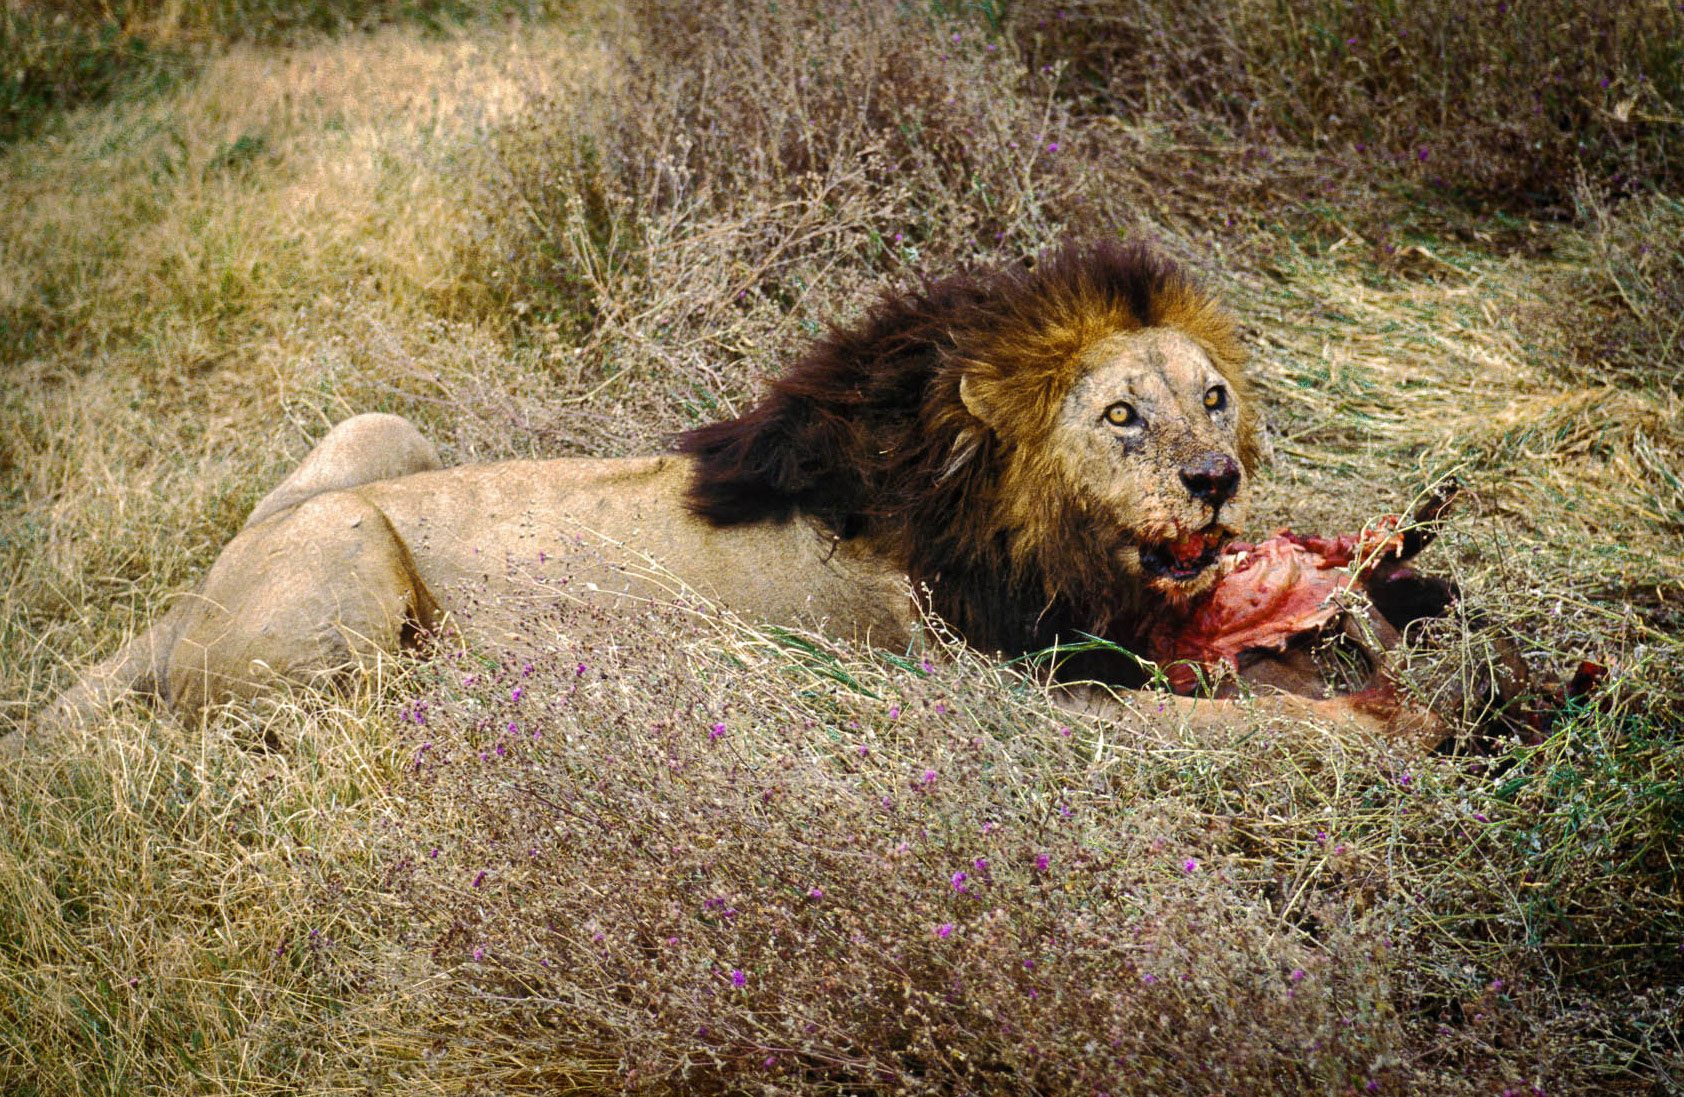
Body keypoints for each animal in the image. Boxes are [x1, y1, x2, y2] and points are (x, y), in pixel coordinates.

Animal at [40, 242, 1439, 744]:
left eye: (1213, 397)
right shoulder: (1019, 698)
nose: (1214, 477)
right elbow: (1244, 730)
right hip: (344, 561)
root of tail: (174, 613)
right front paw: (1392, 728)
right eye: (1120, 416)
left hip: (377, 432)